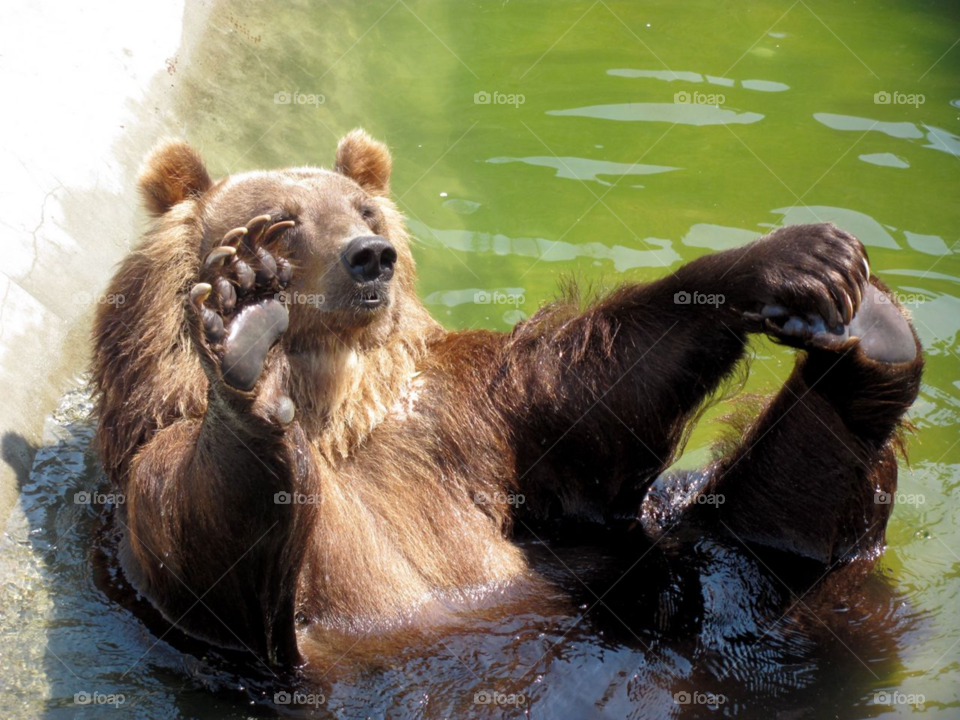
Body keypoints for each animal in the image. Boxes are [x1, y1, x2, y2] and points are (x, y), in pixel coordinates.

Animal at [91, 129, 922, 676]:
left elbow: (584, 401)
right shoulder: (164, 501)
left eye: (365, 209)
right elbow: (209, 537)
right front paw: (243, 326)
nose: (370, 257)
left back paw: (872, 333)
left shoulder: (464, 418)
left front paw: (793, 258)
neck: (339, 408)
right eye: (284, 221)